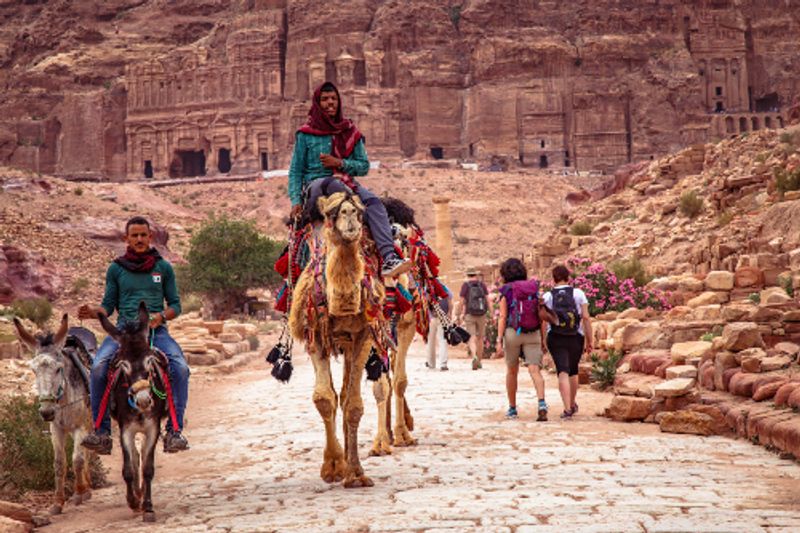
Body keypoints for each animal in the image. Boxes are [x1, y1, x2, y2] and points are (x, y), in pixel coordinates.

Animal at [290, 191, 384, 486]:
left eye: (360, 210)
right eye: (332, 212)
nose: (349, 216)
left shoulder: (364, 335)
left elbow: (353, 404)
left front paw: (355, 472)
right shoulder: (316, 335)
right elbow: (324, 398)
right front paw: (332, 466)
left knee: (346, 393)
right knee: (335, 394)